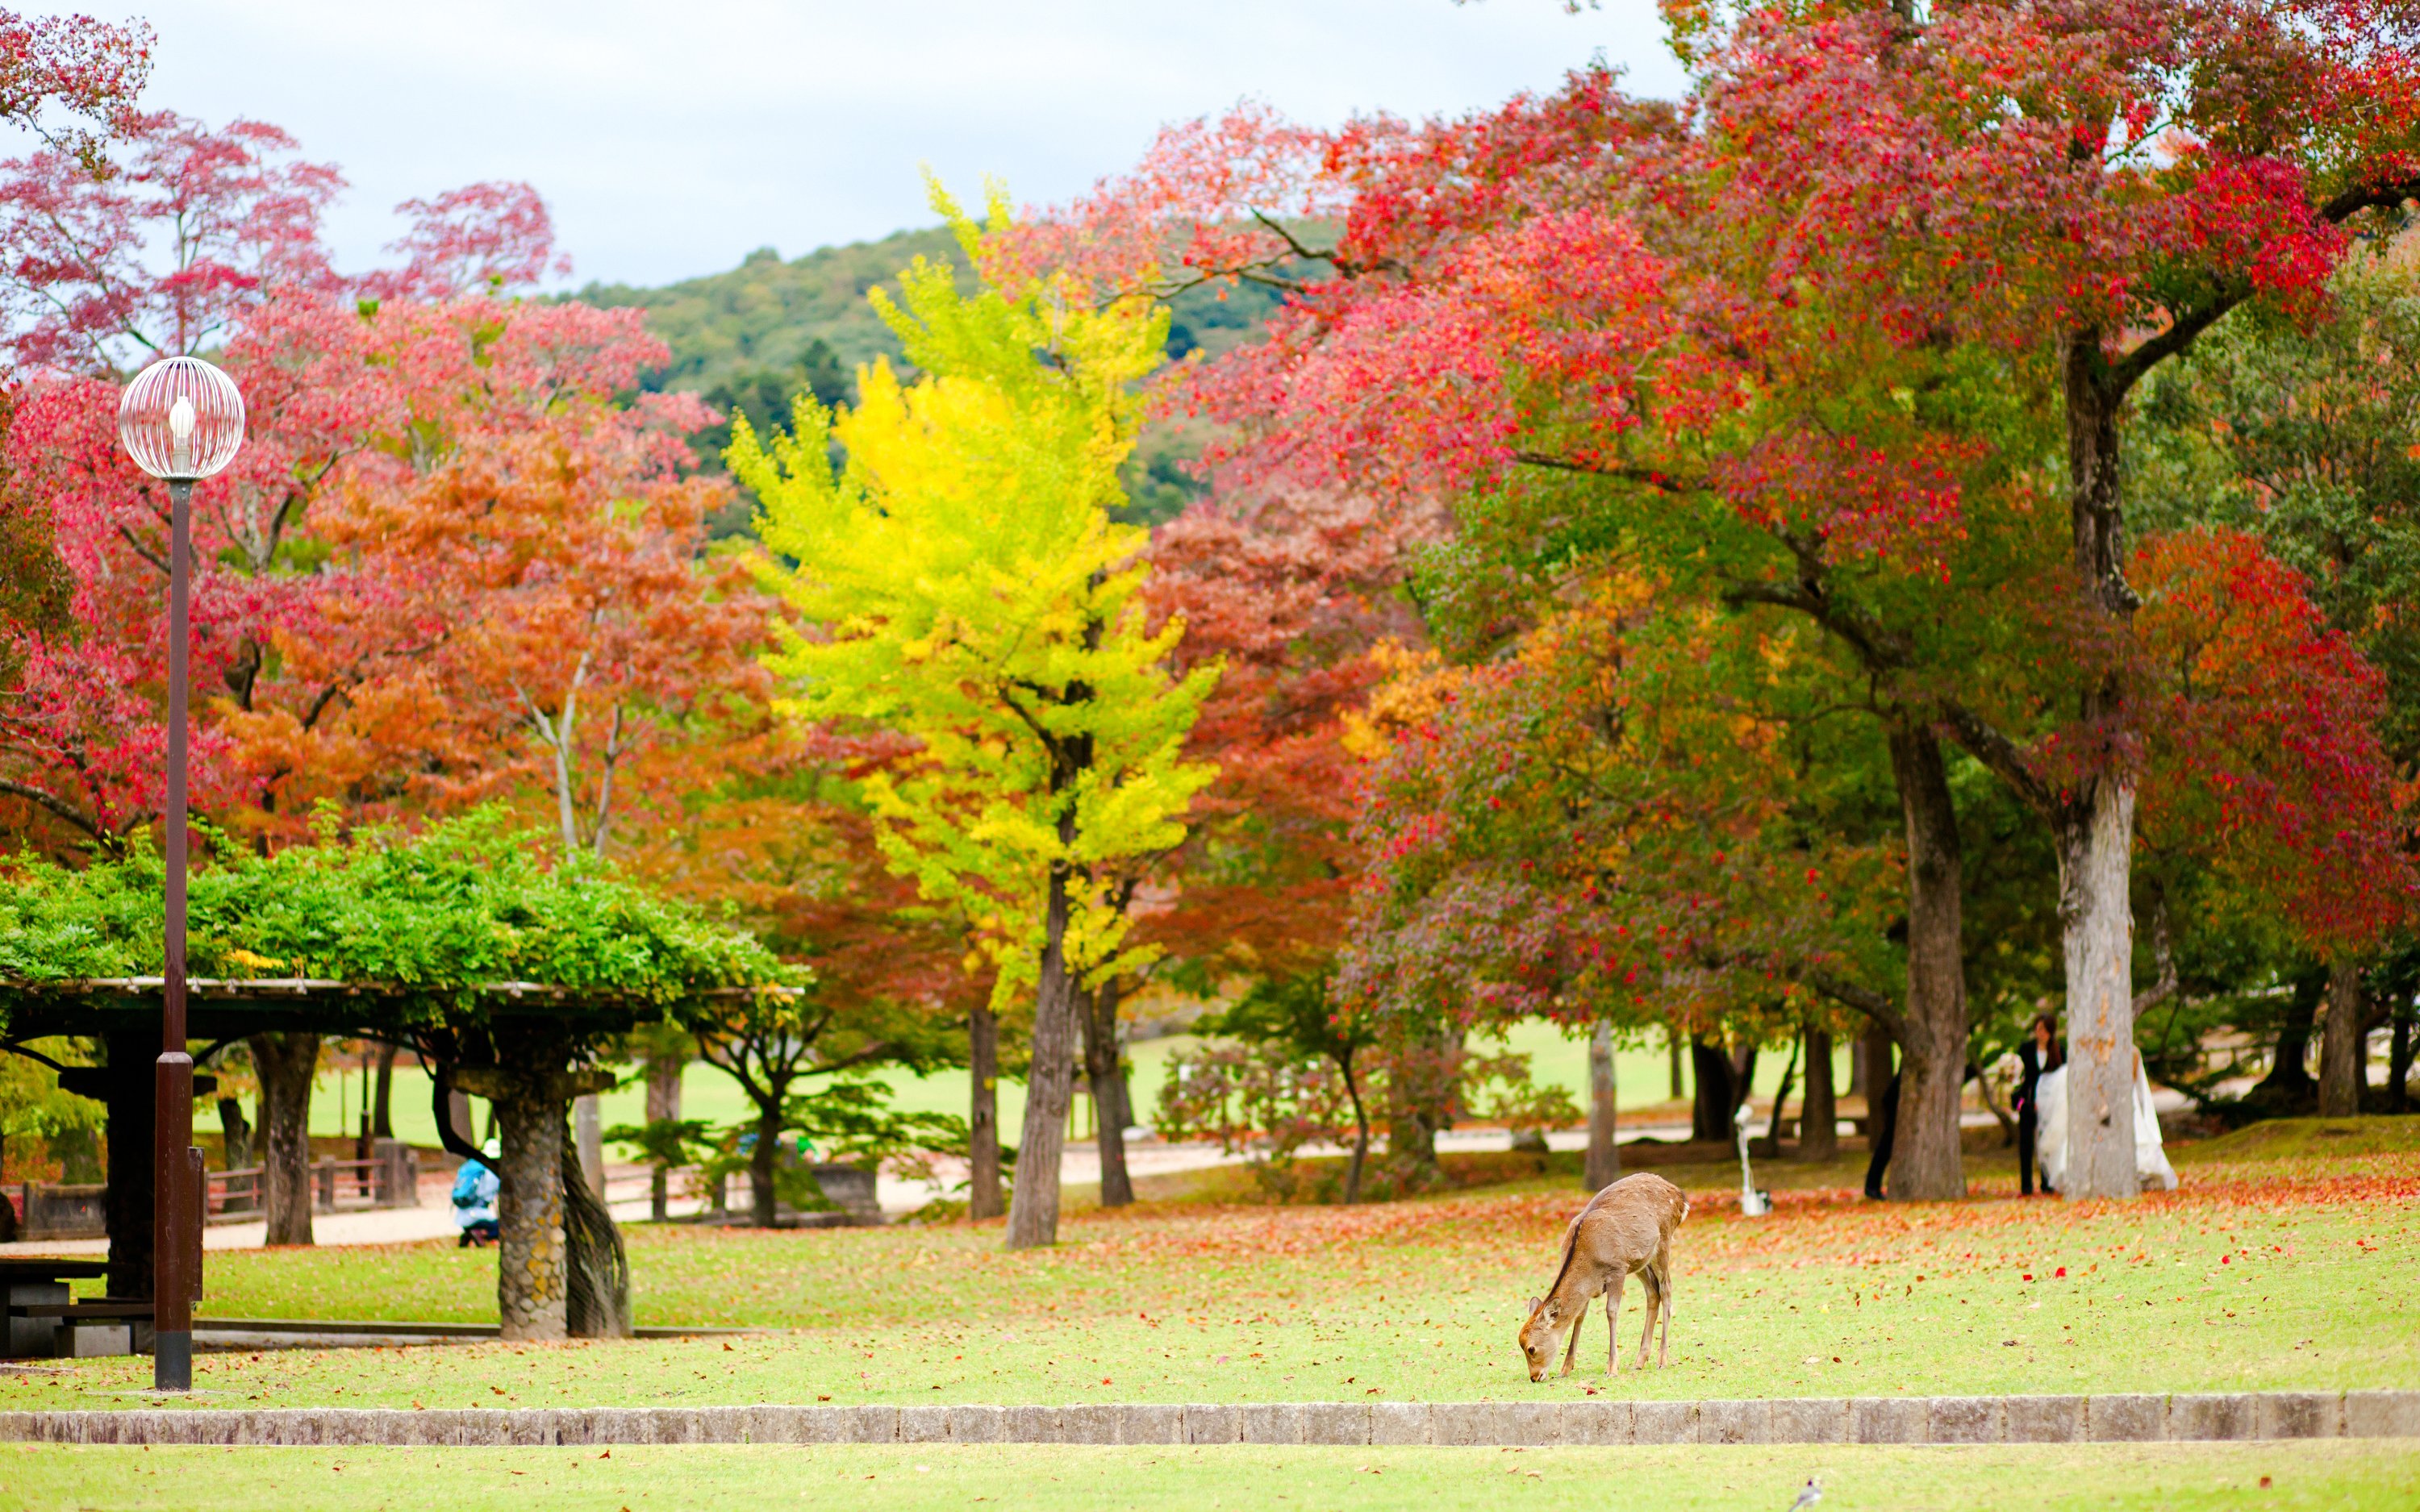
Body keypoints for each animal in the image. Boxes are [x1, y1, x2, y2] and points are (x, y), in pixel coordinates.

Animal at [1517, 1171, 1688, 1382]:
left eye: (1531, 1348)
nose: (1534, 1377)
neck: (1590, 1267)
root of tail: (1680, 1197)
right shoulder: (1591, 1286)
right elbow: (1580, 1316)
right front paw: (1565, 1369)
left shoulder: (1618, 1269)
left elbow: (1611, 1311)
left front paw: (1612, 1368)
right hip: (1640, 1260)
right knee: (1653, 1293)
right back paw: (1640, 1361)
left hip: (1663, 1241)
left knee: (1666, 1289)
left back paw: (1662, 1360)